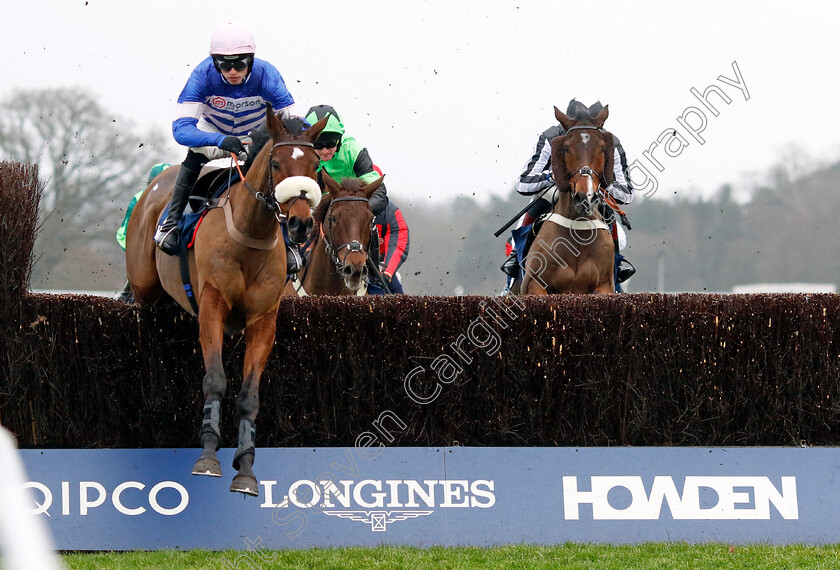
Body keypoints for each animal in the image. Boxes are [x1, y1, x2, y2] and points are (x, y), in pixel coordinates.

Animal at [126, 105, 326, 492]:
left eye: (316, 166)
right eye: (276, 163)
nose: (300, 225)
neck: (250, 237)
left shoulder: (263, 320)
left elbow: (249, 396)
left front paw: (246, 468)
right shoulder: (212, 307)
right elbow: (216, 379)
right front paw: (207, 454)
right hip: (144, 287)